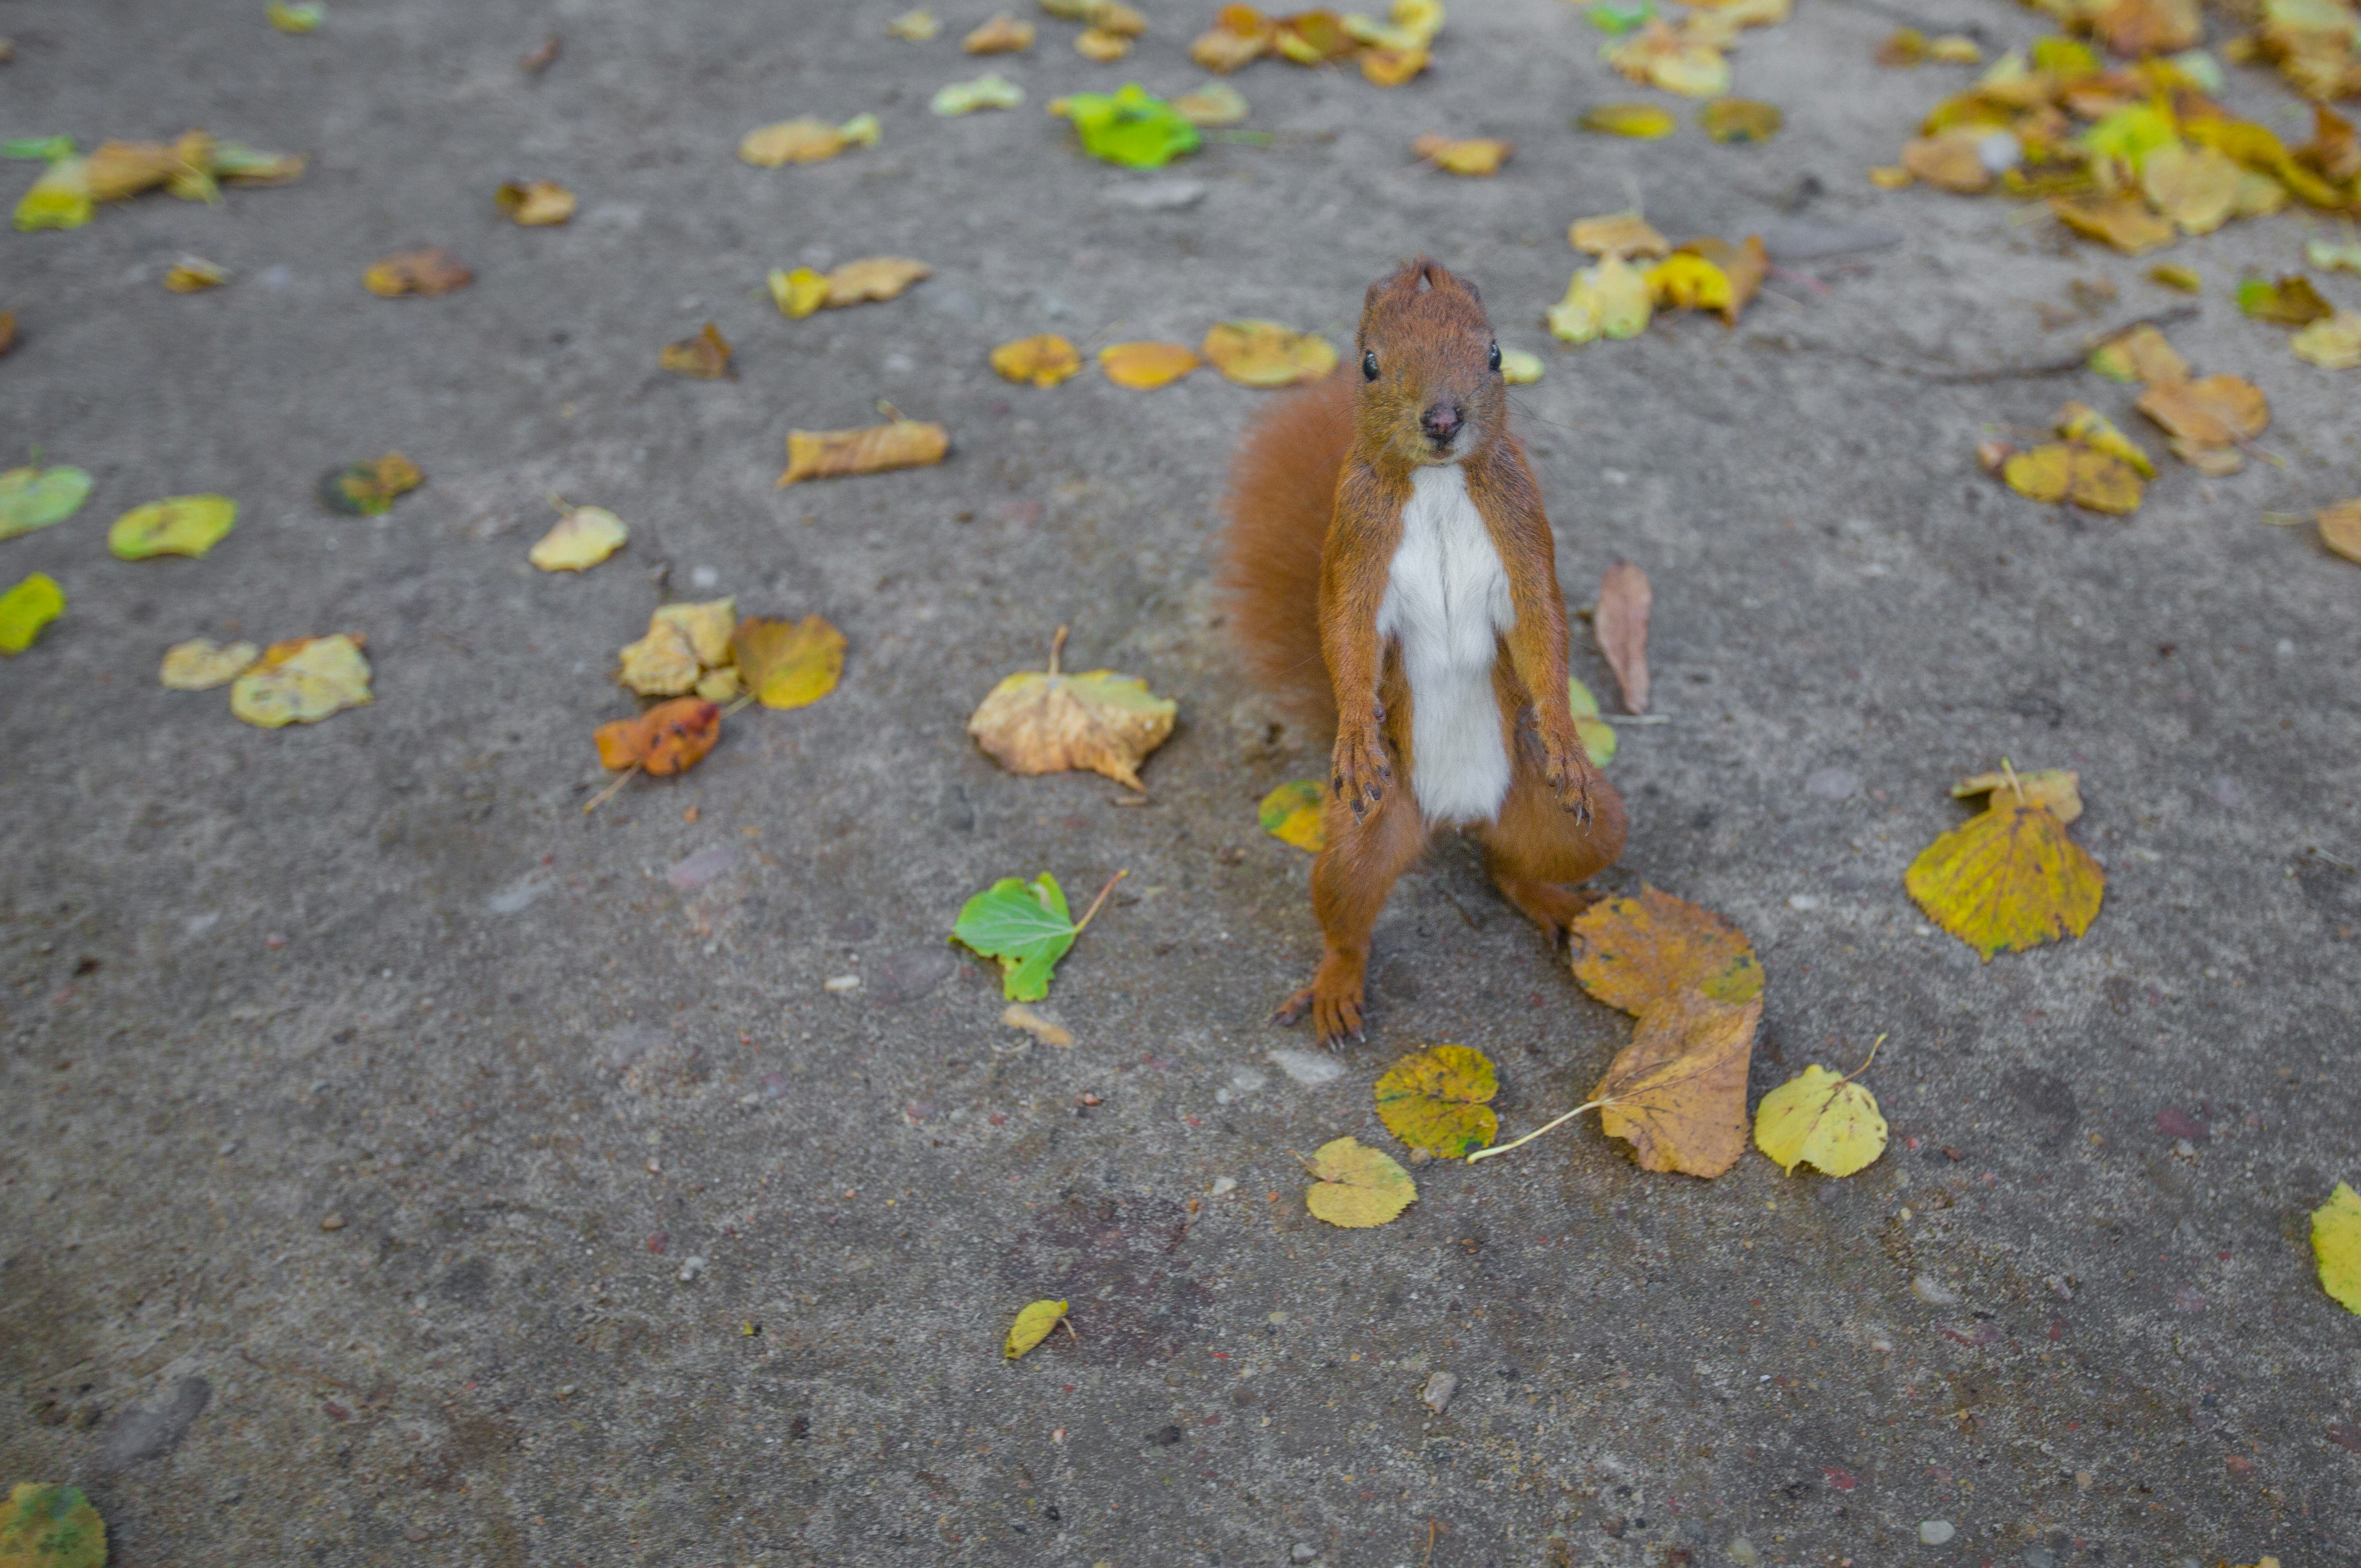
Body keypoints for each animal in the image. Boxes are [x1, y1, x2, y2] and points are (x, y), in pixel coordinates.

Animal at [1218, 254, 1624, 1039]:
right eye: (1369, 364)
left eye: (1495, 354)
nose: (1442, 419)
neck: (1437, 483)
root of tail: (1456, 814)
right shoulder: (1356, 541)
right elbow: (1346, 635)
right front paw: (1354, 729)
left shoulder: (1521, 528)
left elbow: (1542, 629)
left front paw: (1564, 734)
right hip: (1365, 832)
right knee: (1348, 912)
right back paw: (1336, 985)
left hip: (1575, 823)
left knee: (1512, 866)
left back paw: (1554, 902)